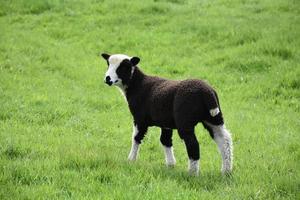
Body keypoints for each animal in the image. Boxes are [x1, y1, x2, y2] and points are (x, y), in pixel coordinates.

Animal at [99, 53, 233, 175]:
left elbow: (136, 138)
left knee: (193, 143)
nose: (107, 78)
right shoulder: (165, 122)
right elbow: (165, 140)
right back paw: (226, 171)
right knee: (224, 139)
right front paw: (170, 164)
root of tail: (207, 92)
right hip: (214, 118)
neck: (137, 85)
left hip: (185, 120)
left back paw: (192, 172)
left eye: (123, 67)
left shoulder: (139, 118)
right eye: (108, 64)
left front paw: (131, 160)